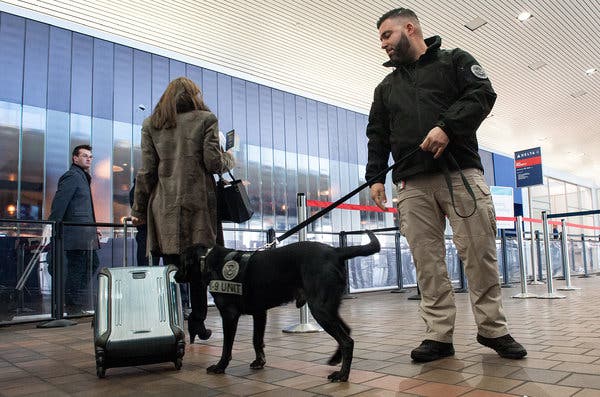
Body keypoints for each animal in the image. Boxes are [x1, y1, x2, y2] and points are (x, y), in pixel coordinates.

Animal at [202, 230, 380, 382]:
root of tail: (335, 251)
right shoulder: (259, 312)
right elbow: (256, 339)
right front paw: (259, 362)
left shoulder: (229, 315)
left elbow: (227, 347)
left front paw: (220, 366)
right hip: (328, 308)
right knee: (346, 331)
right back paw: (336, 359)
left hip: (320, 309)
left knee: (347, 341)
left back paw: (342, 375)